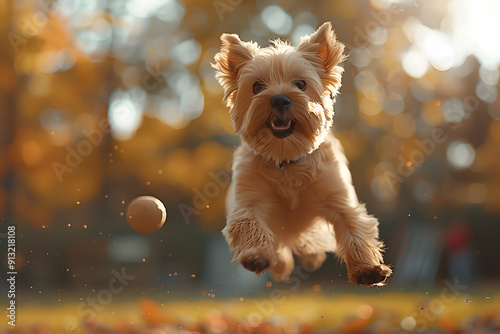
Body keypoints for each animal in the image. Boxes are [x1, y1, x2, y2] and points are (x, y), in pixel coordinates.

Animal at [213, 22, 392, 286]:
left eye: (301, 84)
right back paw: (280, 265)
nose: (279, 99)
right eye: (257, 86)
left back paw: (312, 258)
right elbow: (249, 224)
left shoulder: (338, 199)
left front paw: (367, 269)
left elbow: (354, 227)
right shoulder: (250, 201)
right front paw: (257, 255)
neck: (287, 160)